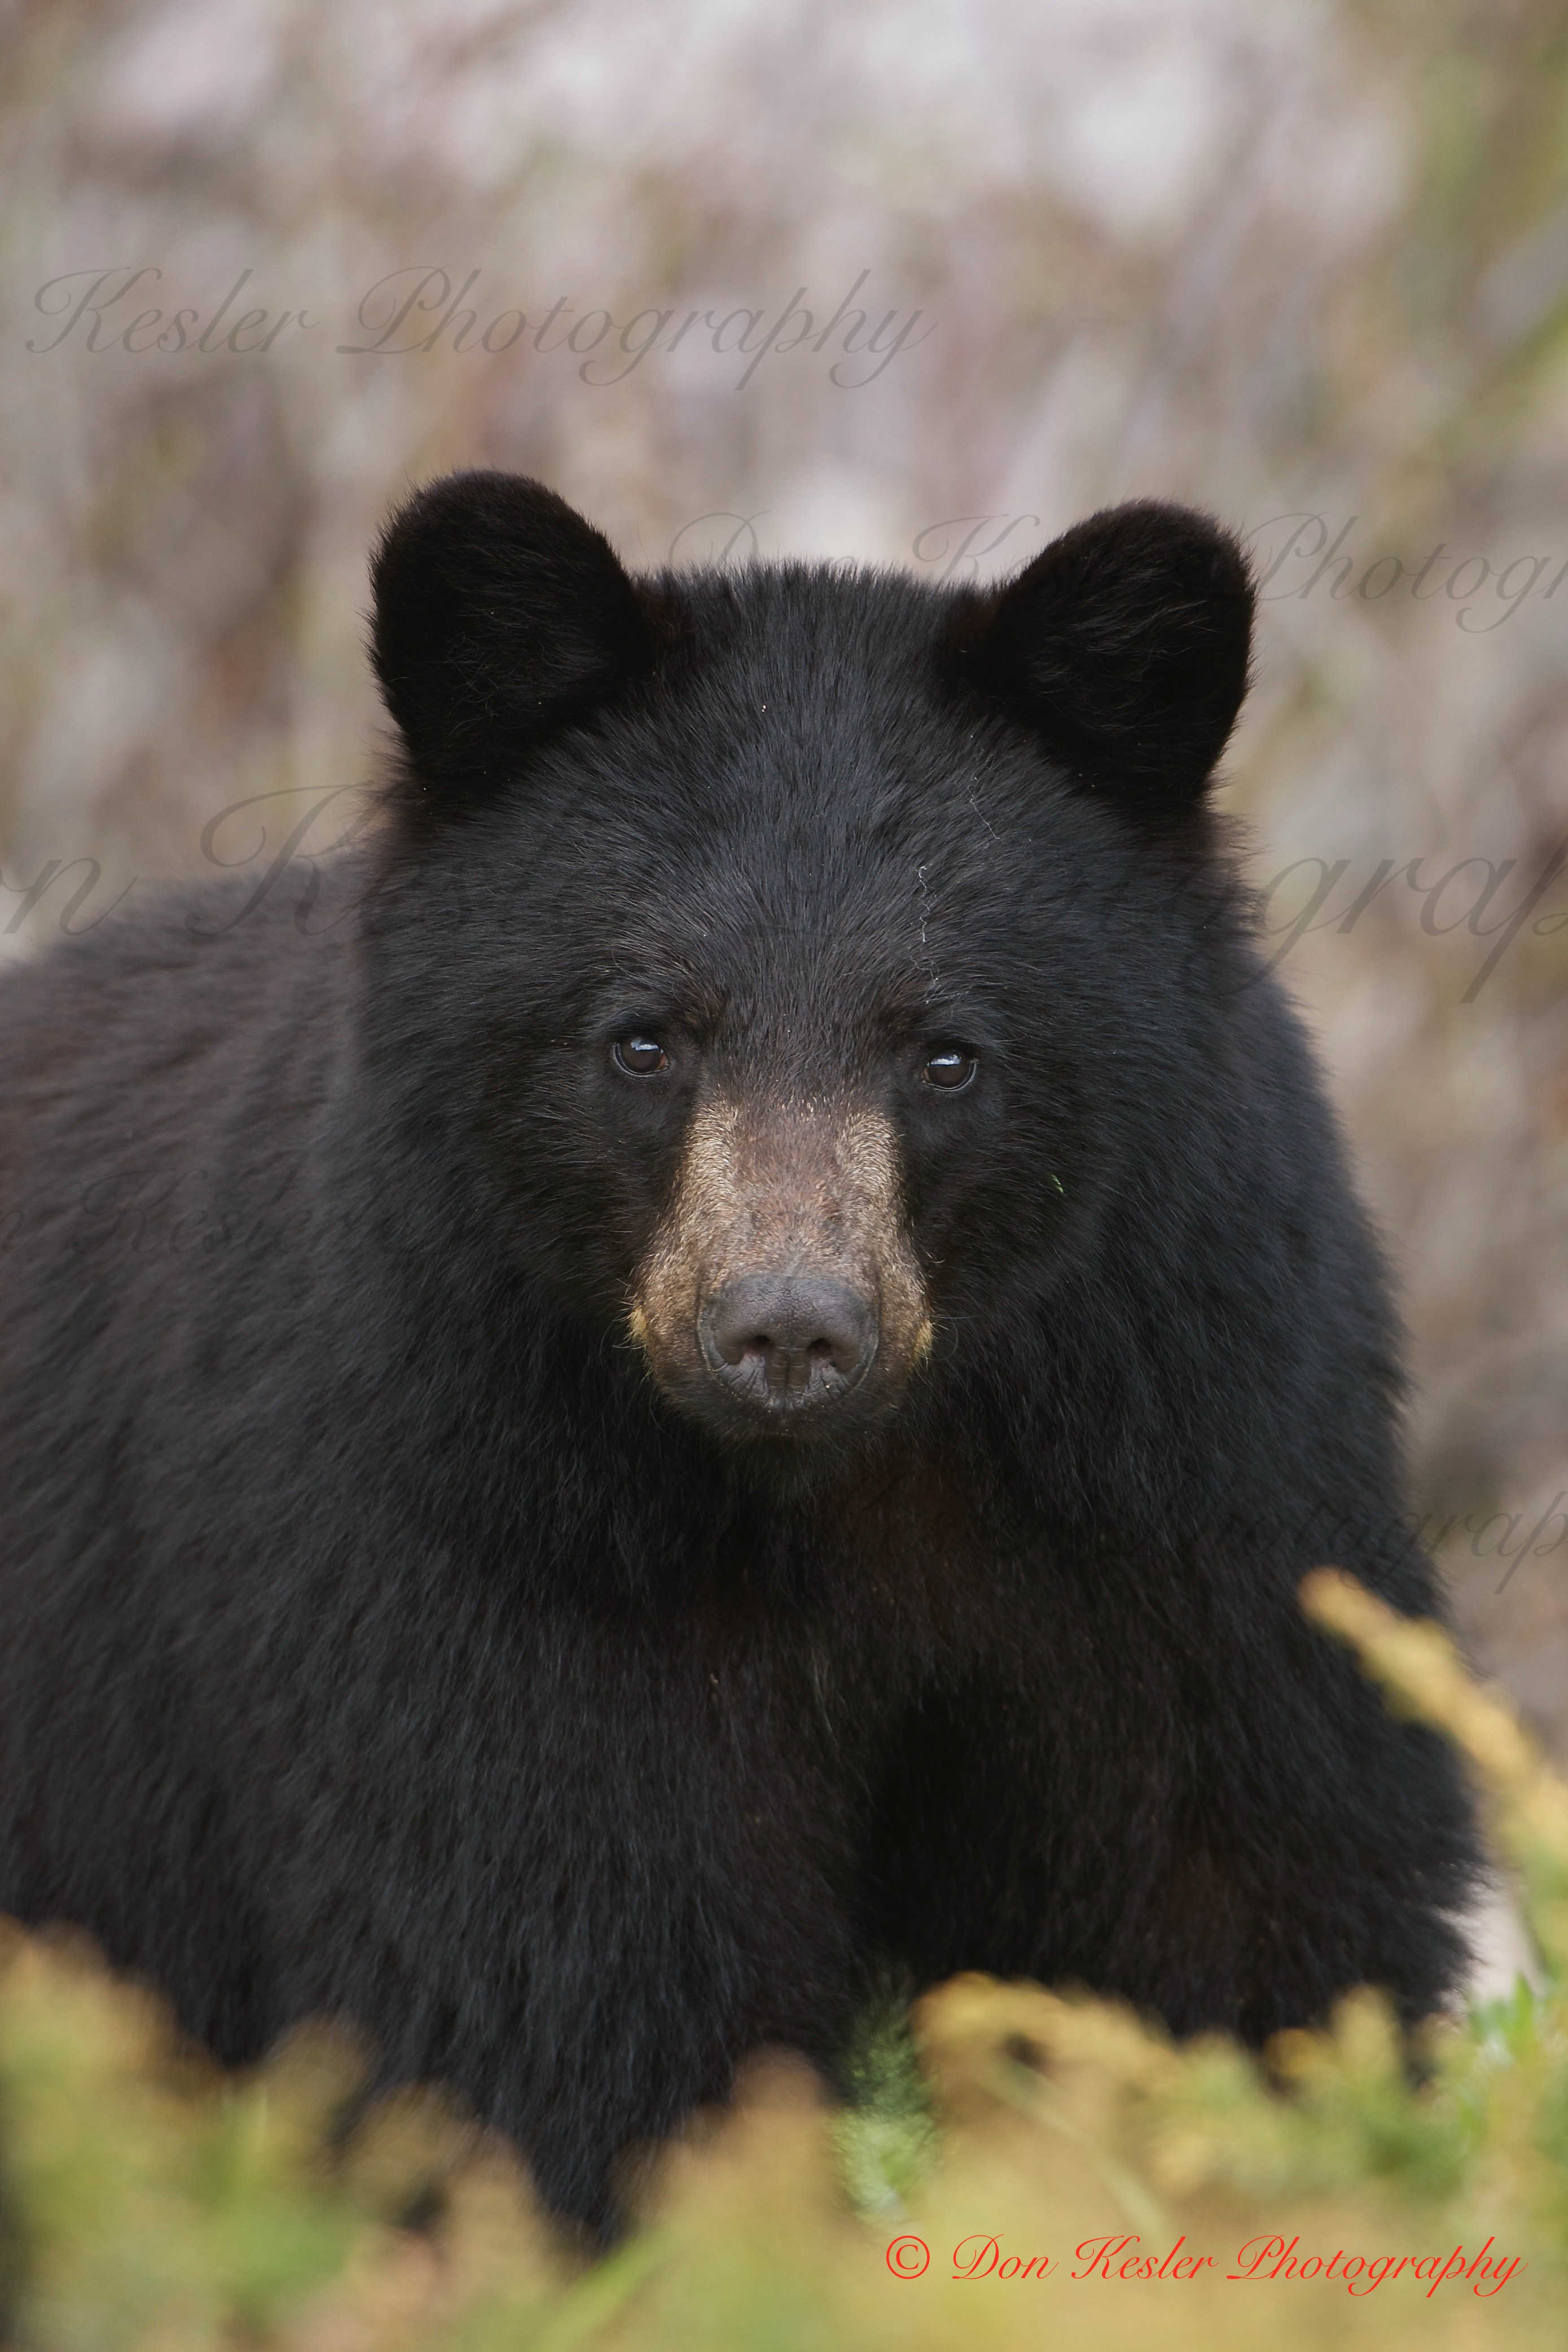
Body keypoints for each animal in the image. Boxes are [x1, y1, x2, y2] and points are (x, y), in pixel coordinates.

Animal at [0, 471, 1480, 2235]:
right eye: (643, 1037)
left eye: (946, 1051)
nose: (787, 1325)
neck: (847, 1490)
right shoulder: (467, 1512)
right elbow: (558, 1969)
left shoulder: (1188, 1464)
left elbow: (1239, 1889)